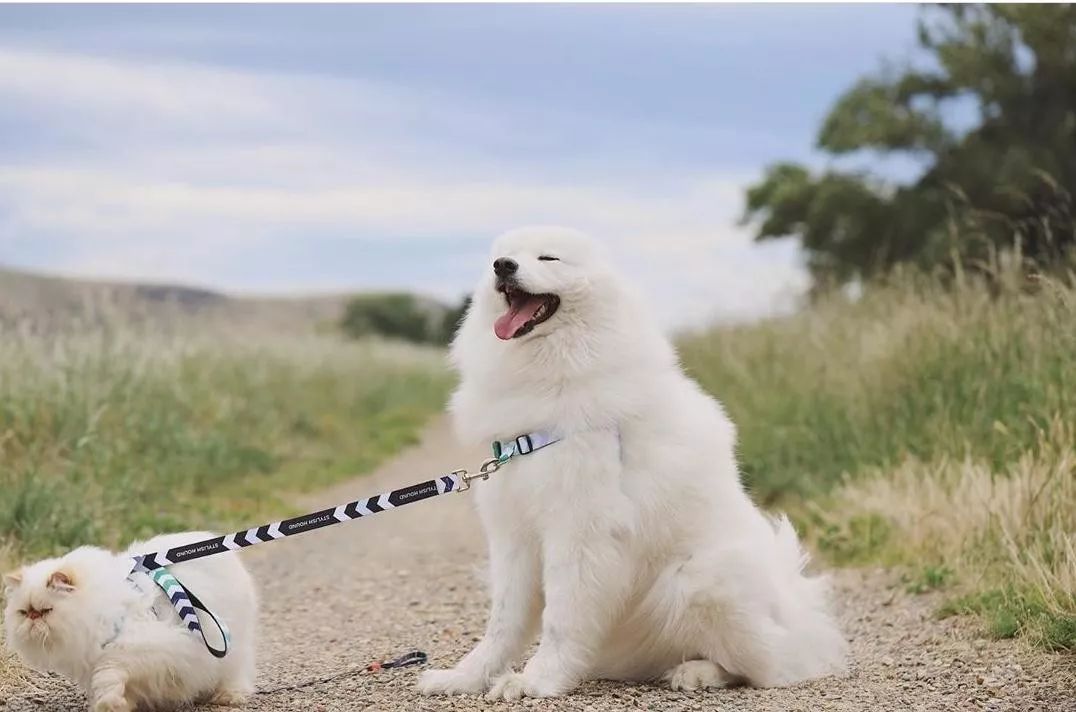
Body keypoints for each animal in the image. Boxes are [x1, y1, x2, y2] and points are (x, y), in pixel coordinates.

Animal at [3, 533, 257, 709]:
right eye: (24, 612)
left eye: (45, 611)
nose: (33, 619)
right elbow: (119, 687)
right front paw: (115, 705)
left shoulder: (150, 648)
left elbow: (110, 670)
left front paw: (110, 702)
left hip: (231, 644)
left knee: (236, 672)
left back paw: (228, 696)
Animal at [419, 229, 847, 701]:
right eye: (502, 257)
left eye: (548, 258)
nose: (504, 267)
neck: (551, 372)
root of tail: (798, 614)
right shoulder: (514, 535)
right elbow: (502, 623)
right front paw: (465, 677)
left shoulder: (580, 532)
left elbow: (560, 619)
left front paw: (535, 681)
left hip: (697, 579)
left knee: (771, 667)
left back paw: (698, 673)